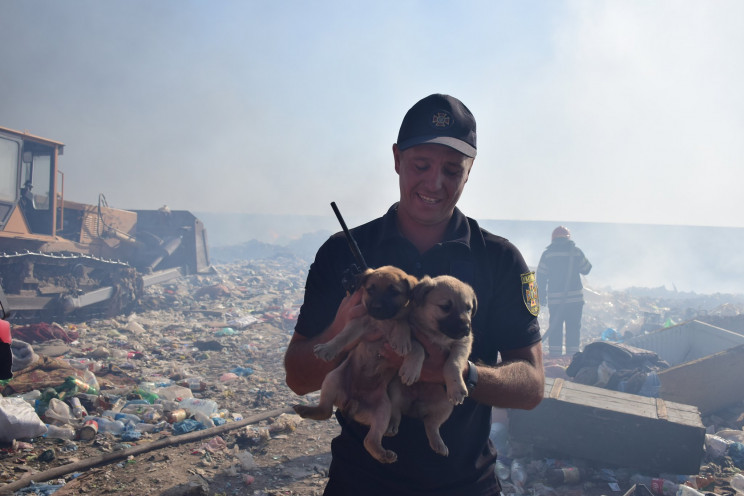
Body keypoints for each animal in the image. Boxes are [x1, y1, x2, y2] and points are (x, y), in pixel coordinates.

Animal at [292, 266, 418, 464]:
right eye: (370, 289)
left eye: (393, 292)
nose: (376, 308)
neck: (383, 322)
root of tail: (353, 402)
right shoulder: (359, 323)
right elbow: (343, 336)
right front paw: (328, 348)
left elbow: (402, 323)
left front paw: (402, 338)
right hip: (332, 379)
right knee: (325, 411)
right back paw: (305, 409)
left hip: (383, 410)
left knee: (370, 441)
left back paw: (384, 454)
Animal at [390, 276, 476, 458]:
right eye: (445, 307)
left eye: (468, 308)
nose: (466, 328)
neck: (438, 335)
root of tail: (414, 407)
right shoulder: (413, 332)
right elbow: (417, 347)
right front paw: (412, 369)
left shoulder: (463, 344)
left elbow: (453, 363)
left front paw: (456, 386)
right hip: (394, 390)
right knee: (395, 411)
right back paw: (391, 425)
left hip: (445, 406)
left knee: (431, 425)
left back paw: (438, 443)